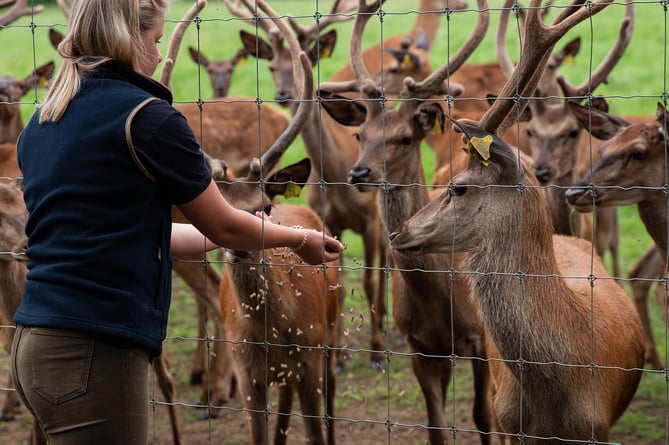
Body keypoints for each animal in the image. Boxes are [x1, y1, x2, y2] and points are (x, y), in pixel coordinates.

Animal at [227, 0, 388, 370]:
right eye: (272, 66)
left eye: (307, 62)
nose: (287, 94)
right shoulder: (327, 219)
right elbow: (337, 283)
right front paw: (340, 355)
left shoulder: (370, 220)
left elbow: (369, 280)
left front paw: (375, 353)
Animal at [318, 1, 496, 442]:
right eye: (360, 135)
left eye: (404, 138)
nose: (359, 173)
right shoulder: (421, 346)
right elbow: (435, 426)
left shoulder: (481, 339)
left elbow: (484, 417)